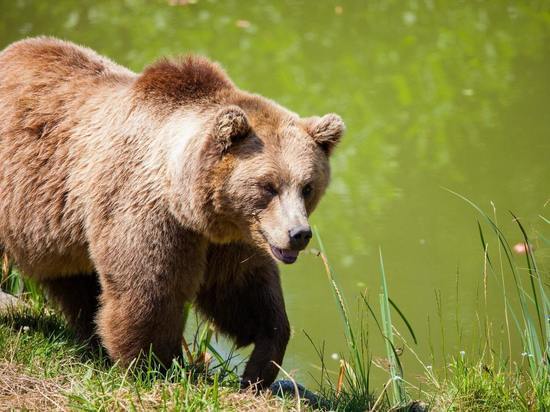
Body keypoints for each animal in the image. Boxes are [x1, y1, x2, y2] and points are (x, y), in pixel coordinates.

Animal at [0, 36, 344, 390]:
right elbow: (150, 290)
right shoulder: (147, 211)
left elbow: (243, 291)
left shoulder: (231, 237)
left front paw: (260, 365)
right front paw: (156, 366)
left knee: (74, 281)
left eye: (307, 187)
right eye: (268, 186)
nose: (299, 234)